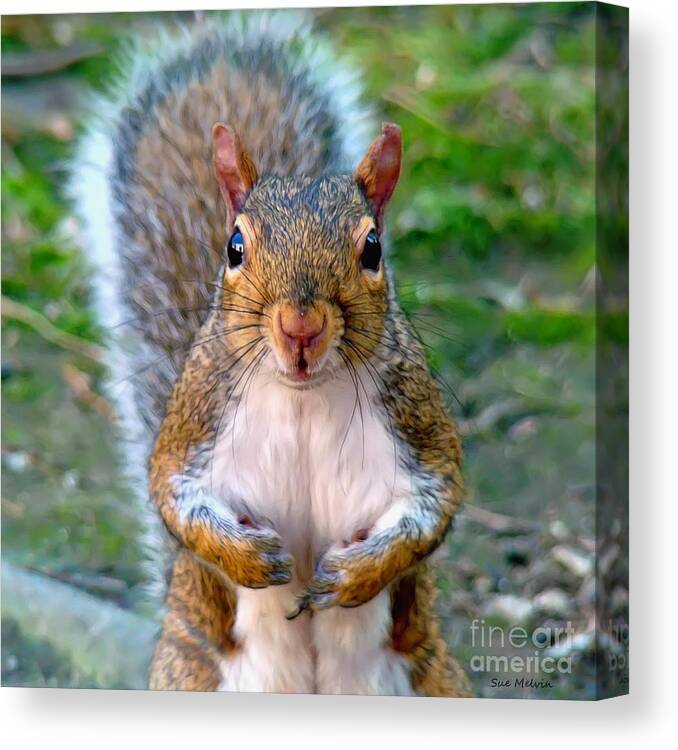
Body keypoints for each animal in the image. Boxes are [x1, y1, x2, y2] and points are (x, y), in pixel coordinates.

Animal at [70, 13, 472, 700]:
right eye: (234, 246)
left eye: (373, 248)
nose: (299, 326)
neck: (303, 397)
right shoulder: (196, 420)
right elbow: (171, 494)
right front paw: (253, 559)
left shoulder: (418, 424)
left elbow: (435, 505)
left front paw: (354, 575)